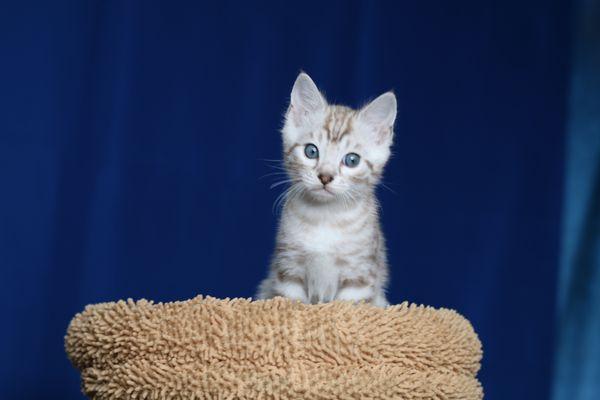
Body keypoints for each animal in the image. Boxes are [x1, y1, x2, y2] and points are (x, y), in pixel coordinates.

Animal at [255, 73, 396, 308]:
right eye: (311, 151)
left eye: (352, 160)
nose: (325, 177)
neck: (325, 217)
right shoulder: (289, 271)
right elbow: (293, 304)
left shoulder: (359, 276)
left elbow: (346, 307)